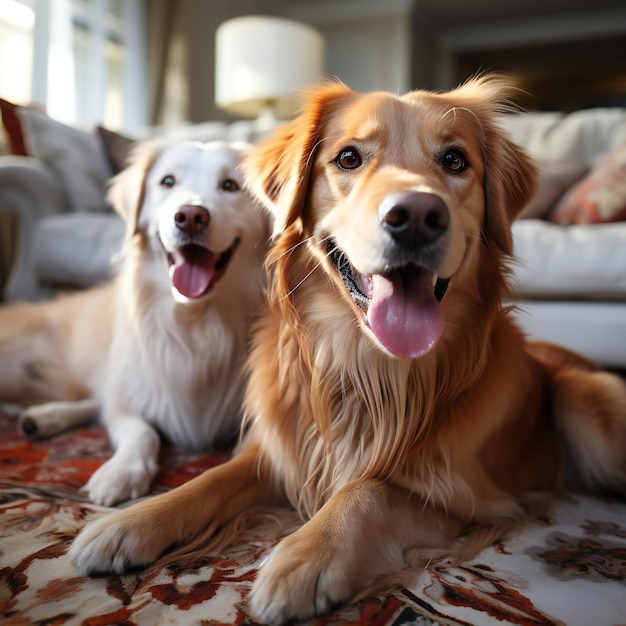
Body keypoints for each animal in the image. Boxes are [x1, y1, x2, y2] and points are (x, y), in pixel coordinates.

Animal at [0, 139, 266, 504]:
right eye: (167, 181)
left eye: (230, 186)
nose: (190, 217)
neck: (195, 322)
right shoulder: (130, 397)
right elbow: (142, 430)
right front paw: (122, 471)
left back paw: (43, 418)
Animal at [68, 79, 624, 624]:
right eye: (349, 158)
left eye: (455, 160)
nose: (417, 216)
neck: (363, 365)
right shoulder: (282, 450)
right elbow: (207, 480)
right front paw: (128, 524)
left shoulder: (470, 501)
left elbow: (369, 489)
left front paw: (305, 556)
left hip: (583, 401)